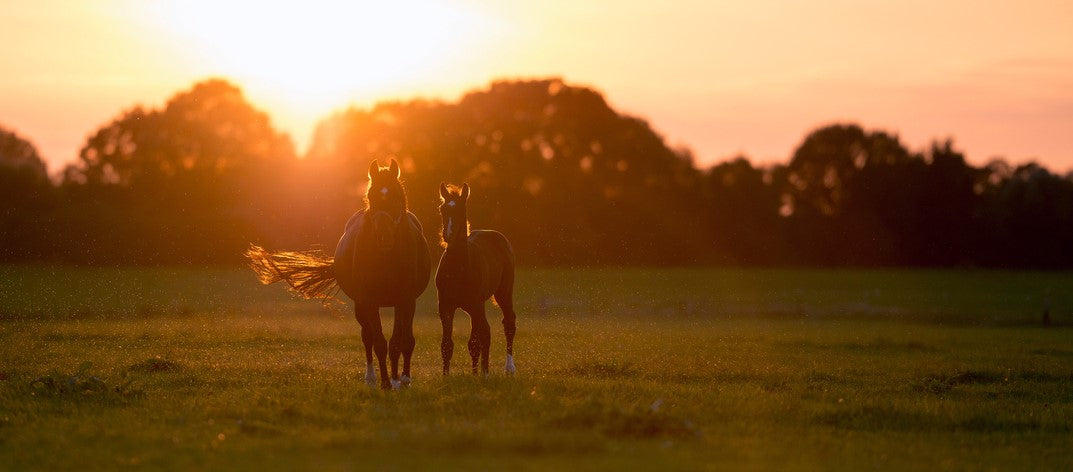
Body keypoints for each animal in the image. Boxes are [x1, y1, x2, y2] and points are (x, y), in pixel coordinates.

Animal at [246, 158, 430, 390]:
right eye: (371, 196)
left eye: (397, 196)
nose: (384, 236)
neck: (386, 257)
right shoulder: (369, 301)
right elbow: (379, 342)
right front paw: (386, 382)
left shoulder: (405, 300)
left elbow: (399, 341)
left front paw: (401, 379)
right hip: (361, 306)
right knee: (367, 337)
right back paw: (371, 378)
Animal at [435, 182, 517, 375]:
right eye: (442, 209)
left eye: (461, 209)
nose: (448, 235)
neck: (457, 270)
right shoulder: (445, 306)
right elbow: (447, 344)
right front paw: (446, 375)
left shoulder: (474, 304)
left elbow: (474, 342)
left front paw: (477, 374)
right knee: (485, 330)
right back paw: (482, 370)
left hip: (502, 293)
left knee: (508, 322)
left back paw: (507, 368)